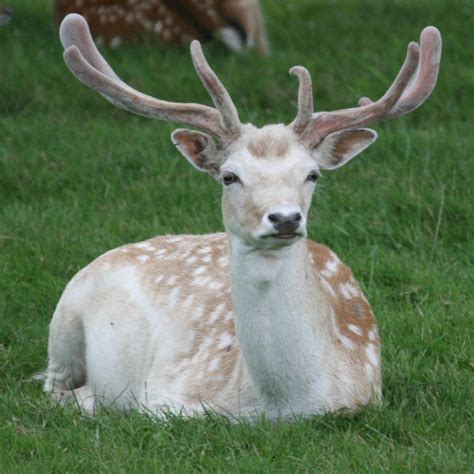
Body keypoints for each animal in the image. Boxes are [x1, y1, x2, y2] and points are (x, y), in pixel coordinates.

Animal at [44, 14, 440, 420]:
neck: (282, 405)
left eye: (312, 174)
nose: (285, 218)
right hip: (64, 318)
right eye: (229, 176)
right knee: (51, 386)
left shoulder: (368, 394)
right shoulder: (164, 394)